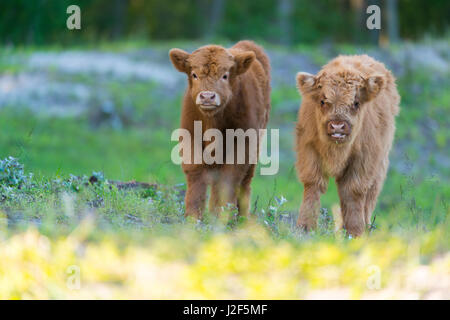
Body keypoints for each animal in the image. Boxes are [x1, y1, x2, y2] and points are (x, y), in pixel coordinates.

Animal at [169, 40, 270, 219]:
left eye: (225, 75)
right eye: (194, 74)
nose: (207, 96)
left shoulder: (242, 143)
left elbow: (229, 177)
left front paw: (220, 213)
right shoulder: (190, 137)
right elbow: (195, 172)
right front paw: (193, 214)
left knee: (245, 182)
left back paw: (241, 217)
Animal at [298, 54, 400, 235]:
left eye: (356, 103)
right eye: (323, 101)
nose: (338, 126)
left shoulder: (364, 161)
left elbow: (352, 192)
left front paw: (355, 231)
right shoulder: (308, 150)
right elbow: (313, 185)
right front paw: (305, 227)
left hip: (380, 166)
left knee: (369, 196)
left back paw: (364, 226)